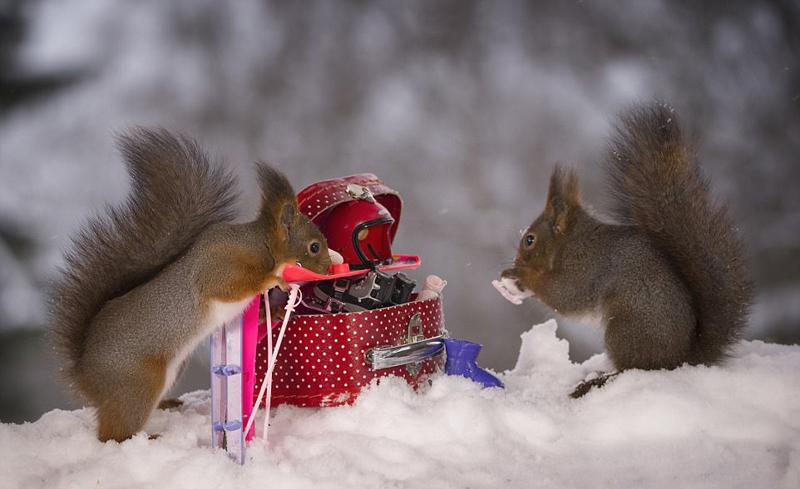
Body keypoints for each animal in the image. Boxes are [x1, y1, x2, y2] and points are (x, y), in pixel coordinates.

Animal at [47, 127, 332, 440]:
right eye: (314, 247)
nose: (330, 268)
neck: (261, 245)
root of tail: (84, 375)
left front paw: (279, 310)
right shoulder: (219, 264)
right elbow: (229, 285)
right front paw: (276, 278)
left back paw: (167, 405)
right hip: (138, 383)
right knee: (113, 435)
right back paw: (145, 437)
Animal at [496, 103, 752, 396]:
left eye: (529, 239)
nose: (516, 261)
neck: (571, 242)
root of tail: (680, 359)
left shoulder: (585, 268)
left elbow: (564, 295)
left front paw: (520, 275)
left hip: (625, 327)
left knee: (634, 368)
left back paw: (599, 380)